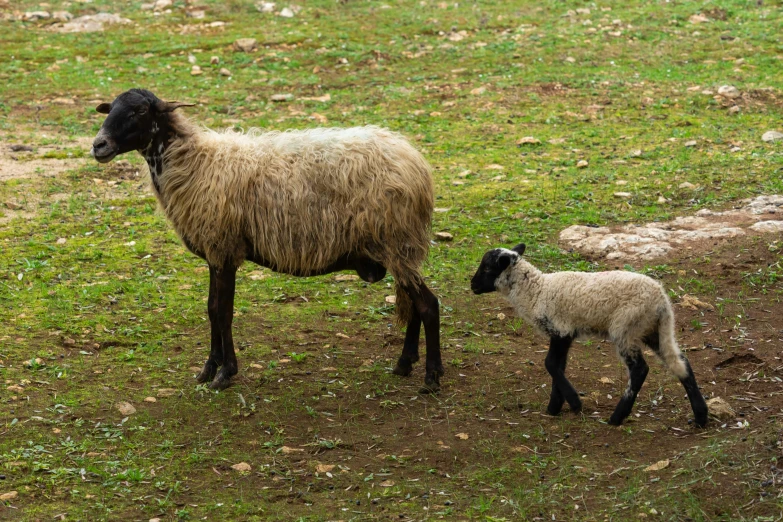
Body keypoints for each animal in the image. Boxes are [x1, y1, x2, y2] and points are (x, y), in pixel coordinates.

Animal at [89, 89, 444, 390]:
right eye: (111, 107)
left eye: (139, 110)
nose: (98, 146)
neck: (195, 162)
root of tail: (417, 165)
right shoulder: (215, 253)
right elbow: (211, 309)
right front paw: (208, 368)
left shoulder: (224, 249)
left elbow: (222, 312)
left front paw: (224, 373)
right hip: (398, 248)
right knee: (414, 305)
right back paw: (404, 364)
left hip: (395, 242)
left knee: (428, 305)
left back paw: (431, 376)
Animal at [472, 242, 712, 424]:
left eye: (487, 268)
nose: (472, 285)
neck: (536, 291)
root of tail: (662, 302)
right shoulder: (564, 333)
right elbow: (558, 366)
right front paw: (555, 407)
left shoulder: (560, 329)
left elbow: (550, 364)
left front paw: (573, 402)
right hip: (653, 330)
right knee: (680, 363)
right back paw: (701, 416)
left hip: (625, 328)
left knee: (640, 370)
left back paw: (617, 417)